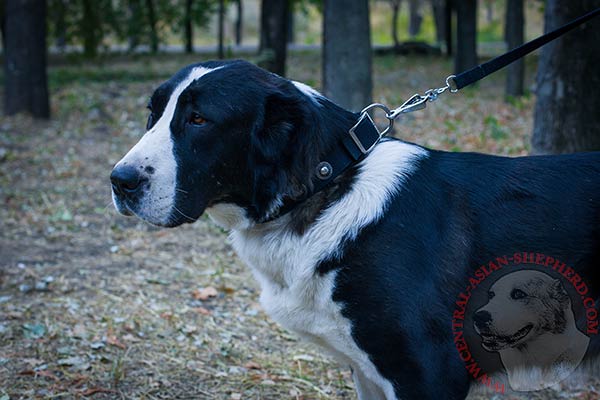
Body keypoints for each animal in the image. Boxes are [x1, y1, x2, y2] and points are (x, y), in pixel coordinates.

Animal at [110, 60, 600, 400]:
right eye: (152, 114)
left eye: (199, 120)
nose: (120, 181)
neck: (325, 188)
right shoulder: (368, 372)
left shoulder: (430, 372)